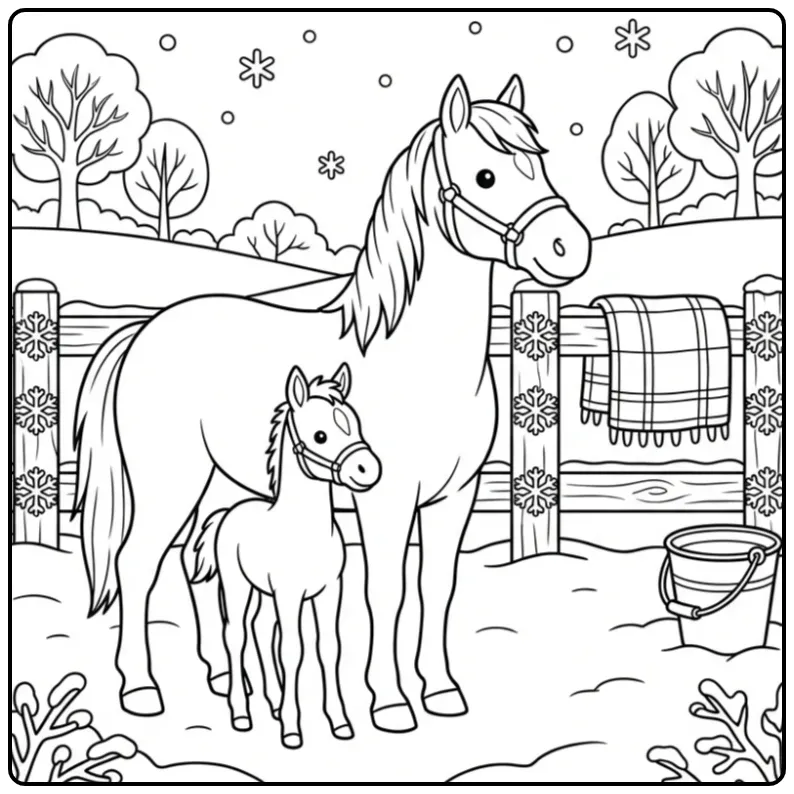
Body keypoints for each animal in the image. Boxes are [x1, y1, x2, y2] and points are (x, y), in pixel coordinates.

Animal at [192, 363, 380, 747]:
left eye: (355, 423)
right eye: (320, 435)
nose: (368, 470)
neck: (303, 529)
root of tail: (228, 512)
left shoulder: (329, 591)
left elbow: (329, 649)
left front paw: (340, 723)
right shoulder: (289, 595)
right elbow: (293, 651)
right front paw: (293, 730)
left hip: (263, 594)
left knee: (262, 633)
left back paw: (274, 704)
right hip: (237, 587)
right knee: (236, 636)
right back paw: (242, 713)